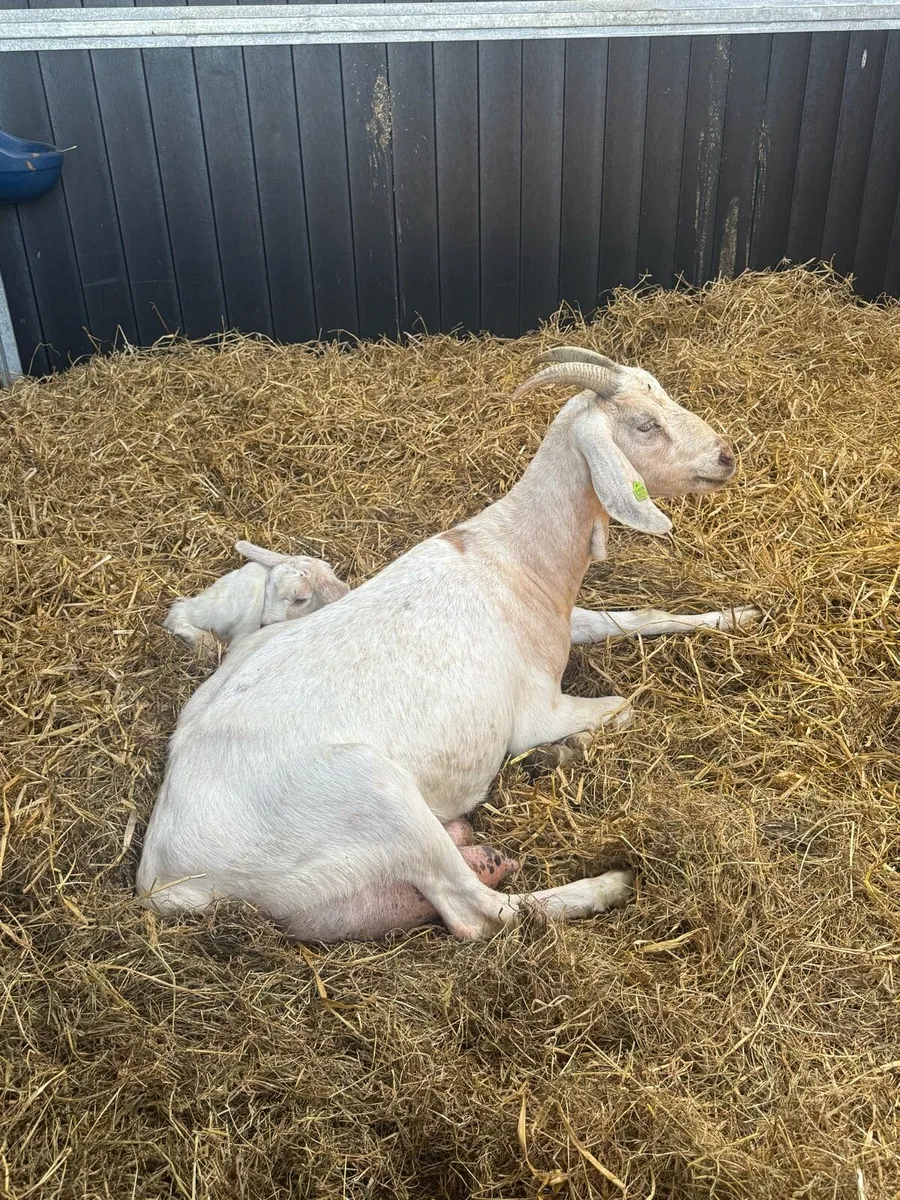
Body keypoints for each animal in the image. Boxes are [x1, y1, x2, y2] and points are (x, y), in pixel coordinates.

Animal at [162, 542, 349, 651]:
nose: (264, 624)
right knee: (178, 611)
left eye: (300, 600)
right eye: (267, 587)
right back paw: (204, 640)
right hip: (222, 607)